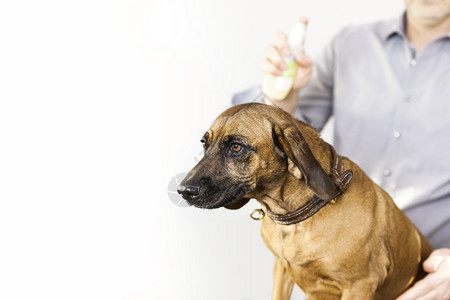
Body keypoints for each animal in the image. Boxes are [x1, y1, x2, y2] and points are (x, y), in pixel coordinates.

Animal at [177, 103, 432, 300]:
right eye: (204, 144)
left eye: (236, 147)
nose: (182, 190)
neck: (297, 219)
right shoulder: (281, 270)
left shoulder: (359, 285)